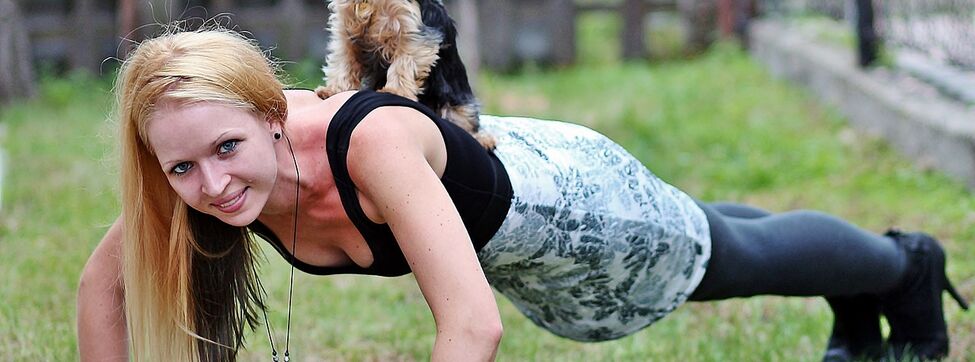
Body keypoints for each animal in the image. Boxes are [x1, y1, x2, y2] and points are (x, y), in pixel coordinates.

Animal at [316, 0, 496, 148]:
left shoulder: (412, 30)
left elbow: (403, 62)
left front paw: (394, 91)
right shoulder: (345, 28)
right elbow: (343, 60)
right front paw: (335, 89)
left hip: (458, 103)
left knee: (466, 121)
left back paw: (483, 139)